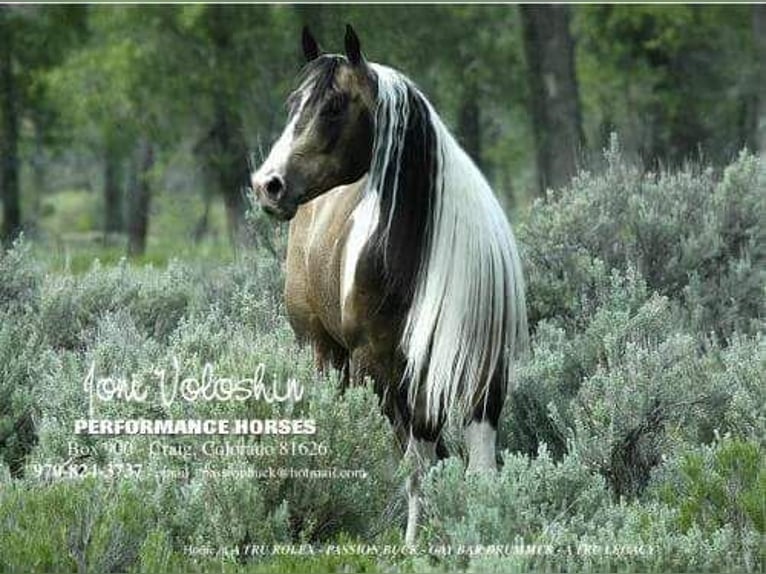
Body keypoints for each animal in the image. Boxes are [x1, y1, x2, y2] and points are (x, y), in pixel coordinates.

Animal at [252, 25, 528, 548]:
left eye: (333, 107)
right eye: (293, 102)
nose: (267, 185)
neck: (422, 262)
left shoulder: (483, 372)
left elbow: (476, 466)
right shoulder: (377, 368)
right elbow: (415, 464)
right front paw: (414, 543)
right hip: (324, 352)